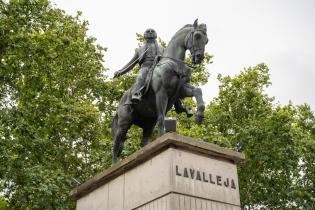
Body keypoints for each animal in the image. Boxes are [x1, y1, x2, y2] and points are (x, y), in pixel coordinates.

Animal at [112, 19, 209, 163]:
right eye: (197, 36)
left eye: (206, 40)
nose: (199, 57)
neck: (175, 64)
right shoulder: (161, 93)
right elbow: (162, 117)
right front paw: (162, 139)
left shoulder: (182, 89)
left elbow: (198, 91)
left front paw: (199, 115)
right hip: (124, 122)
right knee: (116, 143)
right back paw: (114, 164)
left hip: (148, 123)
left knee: (143, 142)